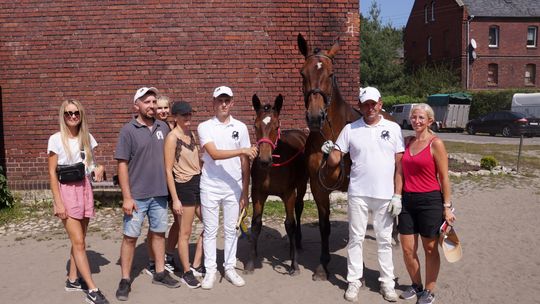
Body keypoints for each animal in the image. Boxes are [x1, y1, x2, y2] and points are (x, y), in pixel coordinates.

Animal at [244, 93, 308, 276]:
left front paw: (294, 264)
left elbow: (290, 224)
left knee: (298, 210)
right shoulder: (258, 193)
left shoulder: (289, 194)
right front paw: (250, 262)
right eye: (255, 125)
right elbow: (256, 224)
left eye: (276, 125)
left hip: (301, 186)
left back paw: (297, 244)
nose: (264, 160)